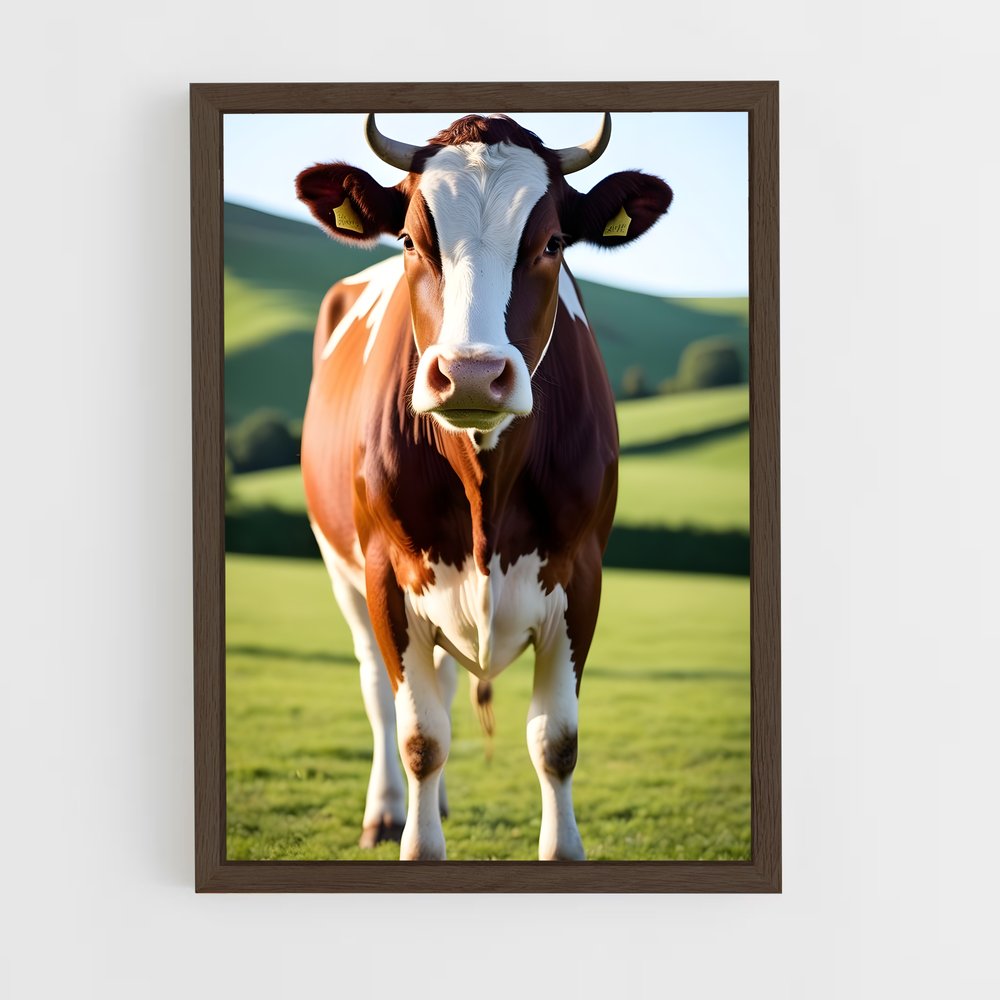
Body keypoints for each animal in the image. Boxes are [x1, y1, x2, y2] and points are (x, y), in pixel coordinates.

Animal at [295, 113, 672, 860]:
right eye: (412, 240)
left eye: (552, 243)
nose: (470, 374)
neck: (484, 490)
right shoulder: (386, 572)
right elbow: (419, 737)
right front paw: (417, 842)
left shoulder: (582, 573)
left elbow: (555, 740)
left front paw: (562, 850)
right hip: (342, 569)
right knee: (380, 691)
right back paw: (388, 812)